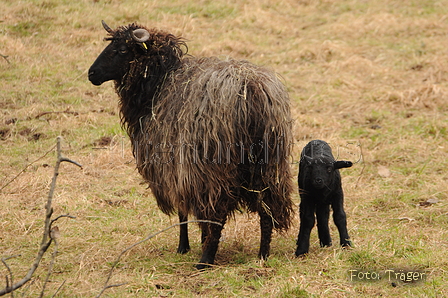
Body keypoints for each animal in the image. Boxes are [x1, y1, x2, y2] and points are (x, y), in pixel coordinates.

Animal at [89, 20, 296, 268]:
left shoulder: (175, 167)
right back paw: (262, 255)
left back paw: (205, 260)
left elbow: (182, 212)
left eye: (121, 50)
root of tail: (251, 90)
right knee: (266, 209)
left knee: (217, 214)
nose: (91, 73)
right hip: (269, 163)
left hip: (214, 167)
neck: (158, 84)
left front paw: (184, 246)